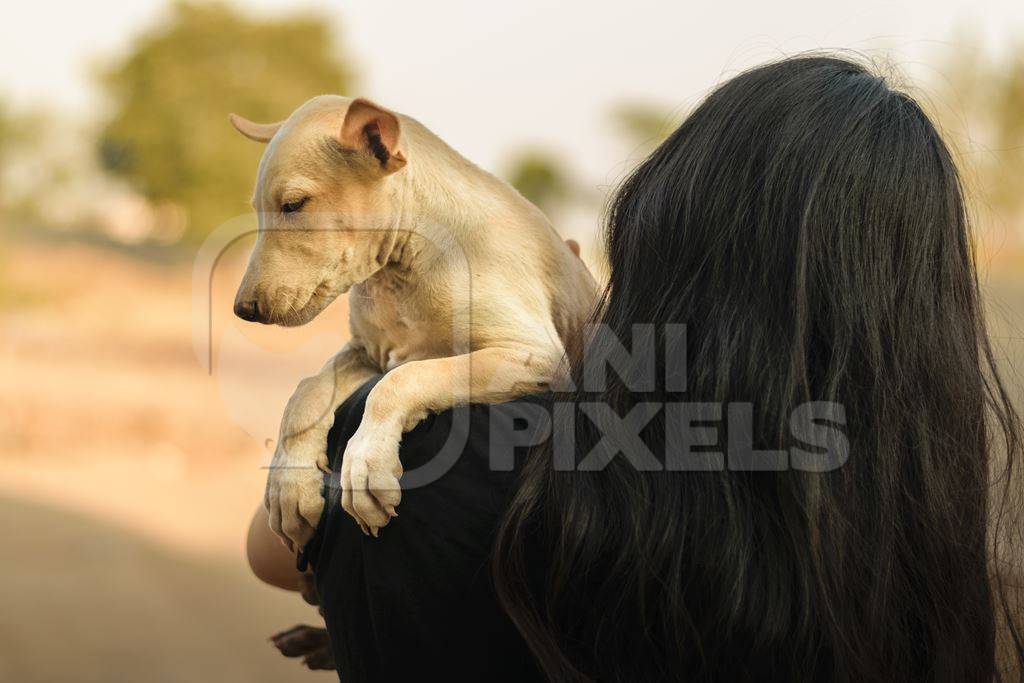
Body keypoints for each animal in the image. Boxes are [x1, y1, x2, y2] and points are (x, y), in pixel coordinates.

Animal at [230, 96, 598, 548]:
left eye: (294, 204)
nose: (243, 310)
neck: (404, 266)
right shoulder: (368, 352)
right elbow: (308, 391)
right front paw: (289, 489)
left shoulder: (534, 353)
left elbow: (403, 379)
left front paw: (365, 463)